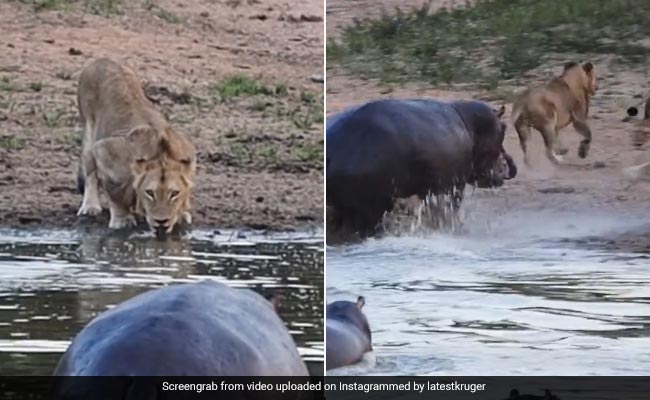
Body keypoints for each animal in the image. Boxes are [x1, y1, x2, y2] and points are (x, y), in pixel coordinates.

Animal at [76, 58, 196, 234]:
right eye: (150, 193)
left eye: (174, 193)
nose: (162, 222)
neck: (161, 155)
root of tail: (102, 59)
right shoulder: (104, 150)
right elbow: (116, 195)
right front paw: (122, 220)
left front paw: (181, 214)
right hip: (89, 132)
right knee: (90, 172)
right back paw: (90, 207)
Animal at [326, 98, 517, 237]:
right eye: (504, 128)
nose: (506, 164)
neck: (470, 125)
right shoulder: (453, 185)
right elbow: (449, 209)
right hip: (372, 206)